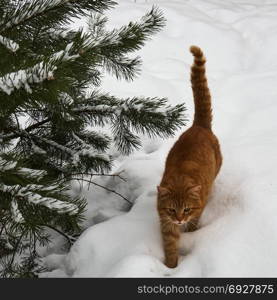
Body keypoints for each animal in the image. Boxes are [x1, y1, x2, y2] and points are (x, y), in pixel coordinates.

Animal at [156, 45, 221, 268]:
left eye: (186, 209)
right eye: (172, 210)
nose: (179, 220)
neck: (180, 180)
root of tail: (199, 126)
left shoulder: (197, 211)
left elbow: (195, 222)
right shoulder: (166, 223)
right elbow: (170, 246)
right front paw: (171, 266)